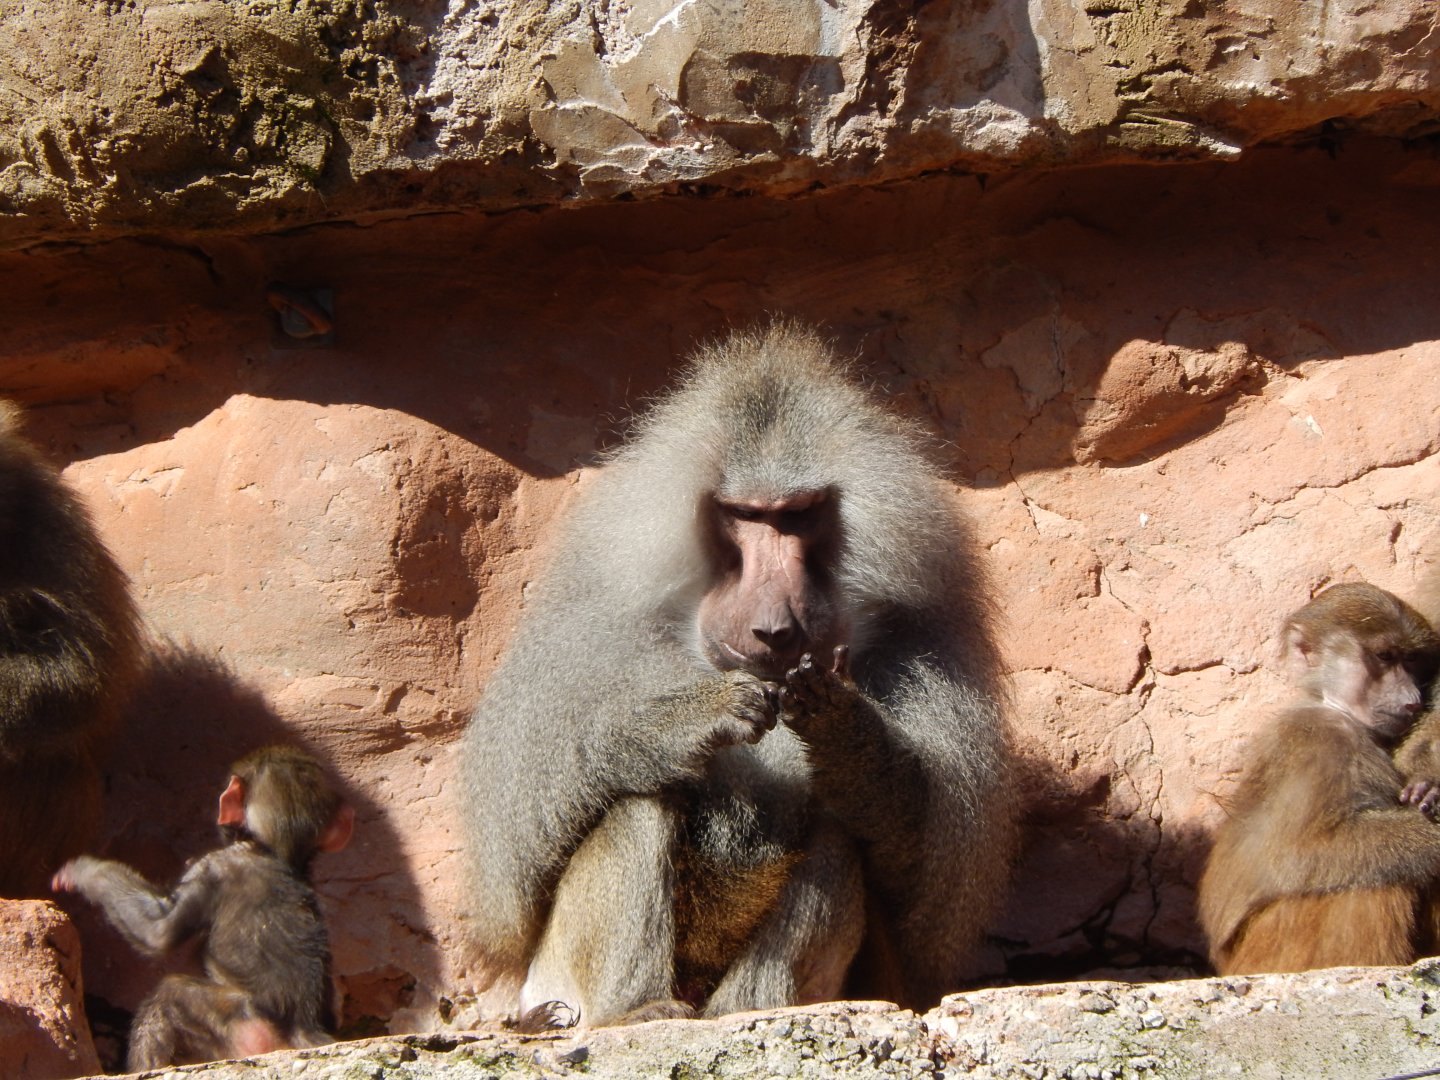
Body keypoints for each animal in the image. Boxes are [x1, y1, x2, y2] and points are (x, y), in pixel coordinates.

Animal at [53, 745, 354, 1070]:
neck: (272, 851)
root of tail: (304, 1033)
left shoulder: (211, 868)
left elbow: (157, 931)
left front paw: (84, 872)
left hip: (243, 1029)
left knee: (170, 995)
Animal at [460, 321, 1016, 1029]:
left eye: (796, 515)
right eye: (744, 515)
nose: (773, 628)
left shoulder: (926, 652)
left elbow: (920, 887)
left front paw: (841, 729)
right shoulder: (585, 635)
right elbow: (515, 875)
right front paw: (687, 720)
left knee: (839, 839)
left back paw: (749, 1013)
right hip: (557, 976)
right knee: (638, 799)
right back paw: (638, 1011)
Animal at [1197, 582, 1440, 975]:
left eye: (1411, 660)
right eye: (1385, 656)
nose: (1413, 700)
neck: (1330, 704)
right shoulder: (1320, 741)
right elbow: (1302, 852)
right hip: (1272, 952)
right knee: (1370, 881)